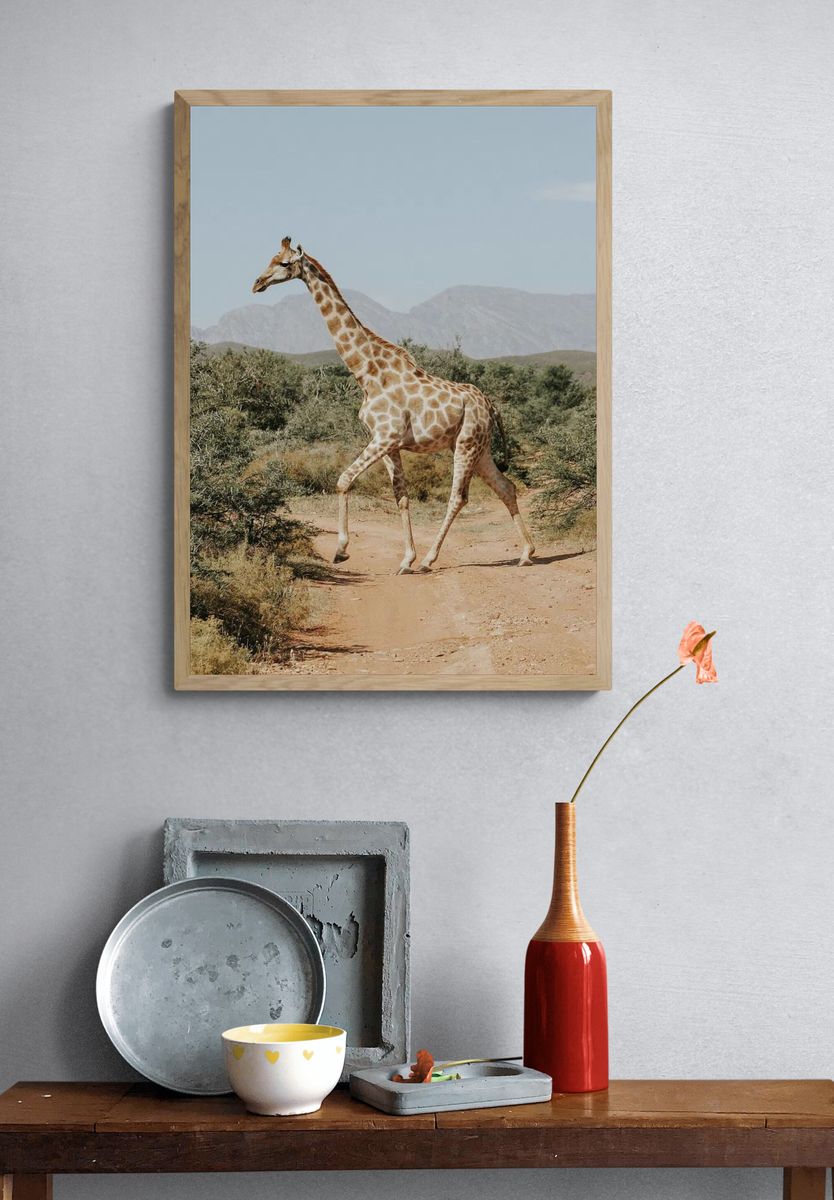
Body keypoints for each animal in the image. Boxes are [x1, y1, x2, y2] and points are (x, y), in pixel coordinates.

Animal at [252, 238, 535, 574]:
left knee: (458, 497)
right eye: (271, 258)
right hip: (479, 447)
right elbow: (401, 496)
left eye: (284, 263)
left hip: (467, 444)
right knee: (506, 487)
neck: (367, 373)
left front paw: (342, 550)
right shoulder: (389, 444)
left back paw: (429, 560)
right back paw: (526, 553)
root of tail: (491, 406)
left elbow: (343, 480)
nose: (257, 283)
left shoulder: (385, 437)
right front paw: (405, 559)